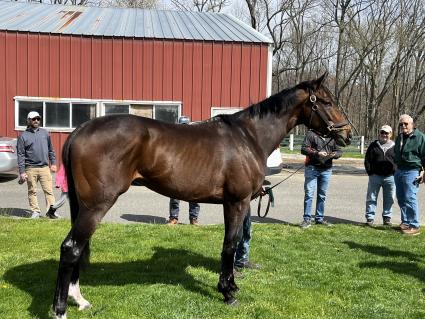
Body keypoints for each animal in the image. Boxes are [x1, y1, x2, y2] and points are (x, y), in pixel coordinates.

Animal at [52, 73, 352, 319]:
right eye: (326, 101)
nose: (347, 134)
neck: (248, 137)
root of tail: (80, 131)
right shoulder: (237, 202)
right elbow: (230, 245)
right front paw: (227, 292)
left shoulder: (233, 203)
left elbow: (233, 244)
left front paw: (232, 285)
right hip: (97, 205)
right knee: (71, 248)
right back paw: (60, 310)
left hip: (84, 206)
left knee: (77, 247)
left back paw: (79, 299)